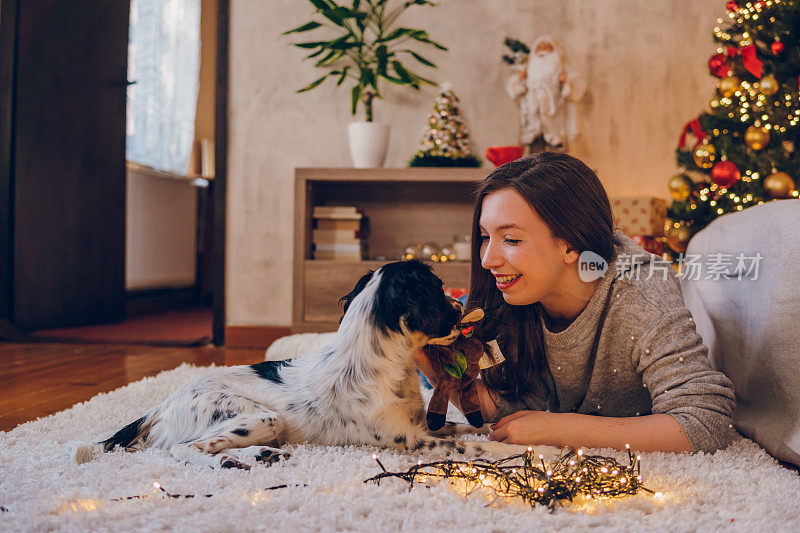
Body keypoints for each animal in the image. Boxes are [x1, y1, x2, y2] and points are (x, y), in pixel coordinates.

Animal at [75, 260, 532, 468]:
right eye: (439, 291)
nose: (462, 308)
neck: (387, 368)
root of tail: (161, 404)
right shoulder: (410, 442)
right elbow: (477, 445)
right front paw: (535, 447)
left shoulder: (422, 425)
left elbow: (473, 429)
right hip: (258, 417)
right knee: (186, 449)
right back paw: (228, 462)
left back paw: (263, 455)